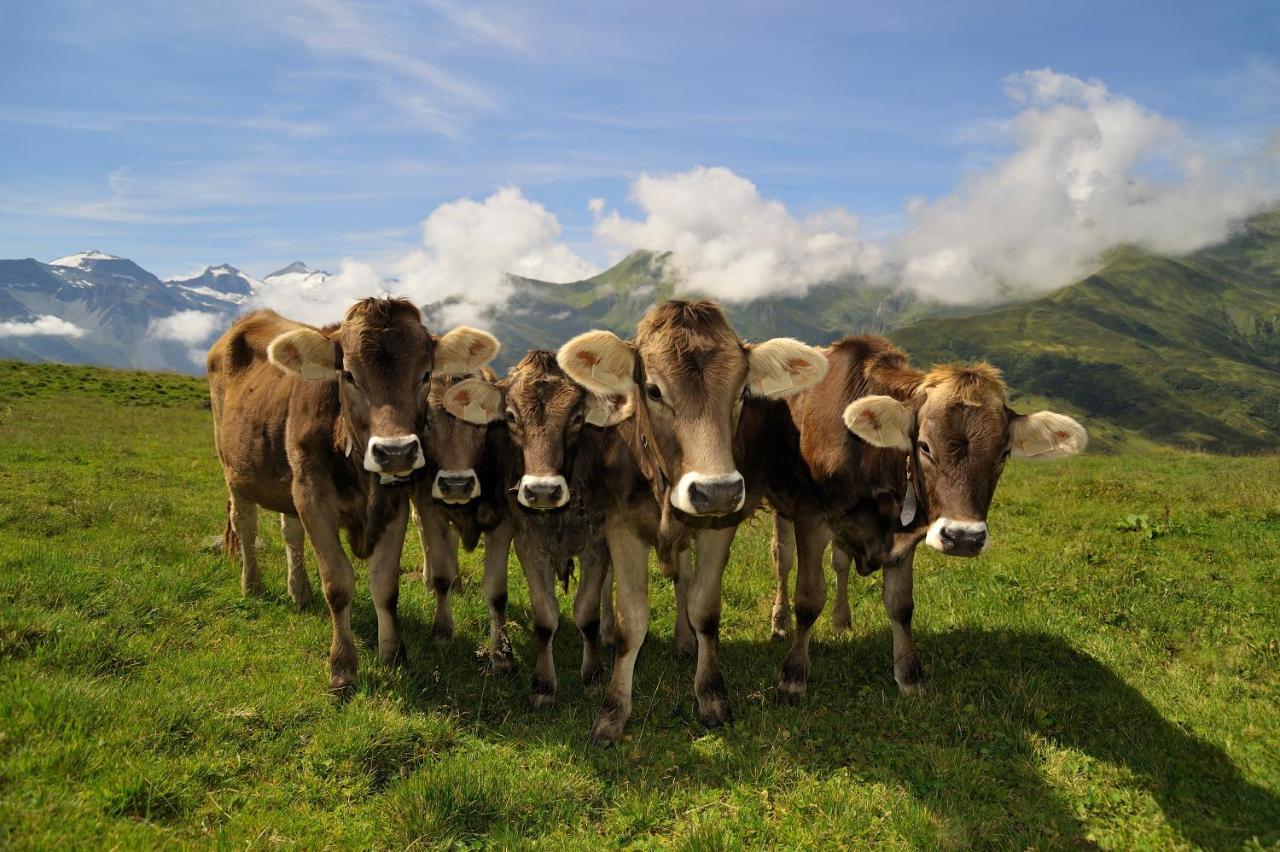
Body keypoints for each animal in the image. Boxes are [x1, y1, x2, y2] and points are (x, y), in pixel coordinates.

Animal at [207, 298, 496, 690]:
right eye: (348, 375)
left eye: (424, 375)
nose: (395, 452)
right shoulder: (313, 500)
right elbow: (338, 585)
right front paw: (342, 666)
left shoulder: (393, 504)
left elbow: (385, 585)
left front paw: (394, 655)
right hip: (234, 471)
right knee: (245, 526)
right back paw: (252, 585)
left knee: (290, 533)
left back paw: (299, 591)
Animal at [560, 300, 829, 741]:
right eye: (653, 390)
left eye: (743, 392)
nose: (716, 490)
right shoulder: (620, 525)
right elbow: (631, 621)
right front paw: (613, 712)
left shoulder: (721, 524)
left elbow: (704, 608)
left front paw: (711, 696)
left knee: (782, 556)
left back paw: (775, 623)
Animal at [762, 335, 1085, 701]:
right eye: (925, 446)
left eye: (1003, 455)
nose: (964, 538)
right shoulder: (811, 518)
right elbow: (808, 599)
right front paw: (792, 676)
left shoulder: (906, 536)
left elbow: (901, 605)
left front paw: (909, 674)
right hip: (783, 508)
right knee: (783, 558)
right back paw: (780, 622)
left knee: (840, 564)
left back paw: (842, 621)